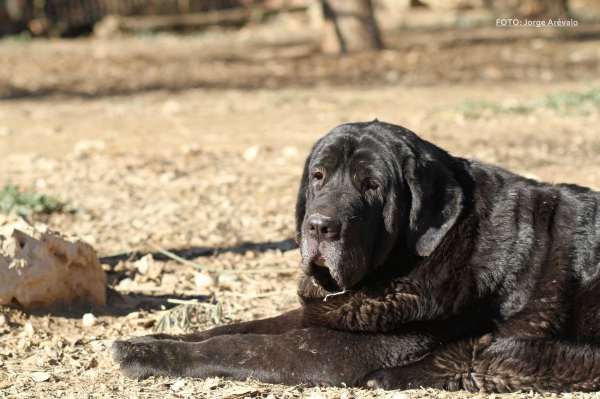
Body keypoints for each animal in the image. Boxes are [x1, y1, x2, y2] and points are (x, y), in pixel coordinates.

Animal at [110, 122, 600, 394]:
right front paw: (151, 338)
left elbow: (240, 346)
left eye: (372, 186)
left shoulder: (346, 347)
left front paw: (144, 354)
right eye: (319, 176)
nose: (320, 227)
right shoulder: (323, 314)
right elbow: (234, 328)